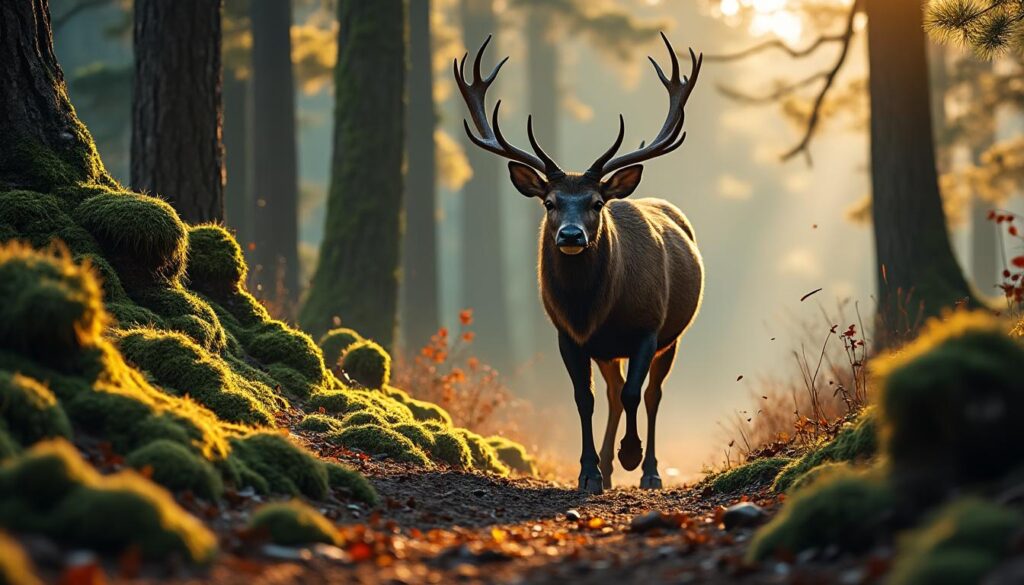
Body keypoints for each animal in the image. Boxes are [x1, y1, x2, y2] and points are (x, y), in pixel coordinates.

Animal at [454, 33, 704, 493]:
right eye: (549, 202)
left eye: (596, 202)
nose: (571, 236)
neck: (593, 309)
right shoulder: (569, 335)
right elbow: (584, 399)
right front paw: (589, 472)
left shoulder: (648, 327)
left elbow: (636, 394)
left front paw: (631, 455)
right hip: (607, 350)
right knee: (613, 392)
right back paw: (607, 467)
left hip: (673, 335)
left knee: (651, 394)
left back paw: (649, 470)